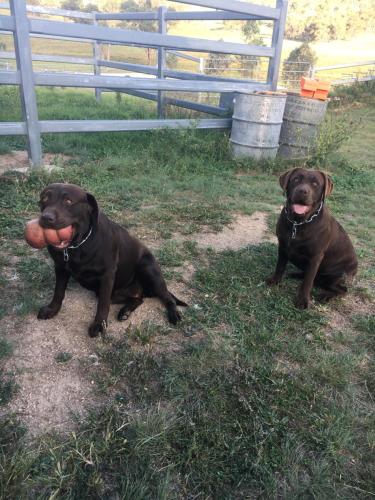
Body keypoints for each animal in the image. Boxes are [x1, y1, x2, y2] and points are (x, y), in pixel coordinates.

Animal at [36, 182, 187, 338]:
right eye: (45, 198)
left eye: (68, 201)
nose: (46, 218)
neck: (78, 245)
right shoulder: (60, 268)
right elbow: (58, 292)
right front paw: (52, 309)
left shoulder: (106, 276)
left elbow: (103, 304)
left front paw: (99, 325)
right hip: (118, 292)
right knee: (138, 298)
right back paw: (126, 311)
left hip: (149, 270)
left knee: (167, 297)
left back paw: (174, 315)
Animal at [268, 168, 358, 308]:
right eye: (296, 179)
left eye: (315, 184)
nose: (302, 191)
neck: (297, 223)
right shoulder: (282, 246)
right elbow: (280, 267)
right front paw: (275, 280)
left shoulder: (315, 257)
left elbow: (308, 282)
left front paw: (303, 300)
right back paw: (295, 274)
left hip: (336, 276)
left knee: (342, 289)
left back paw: (326, 296)